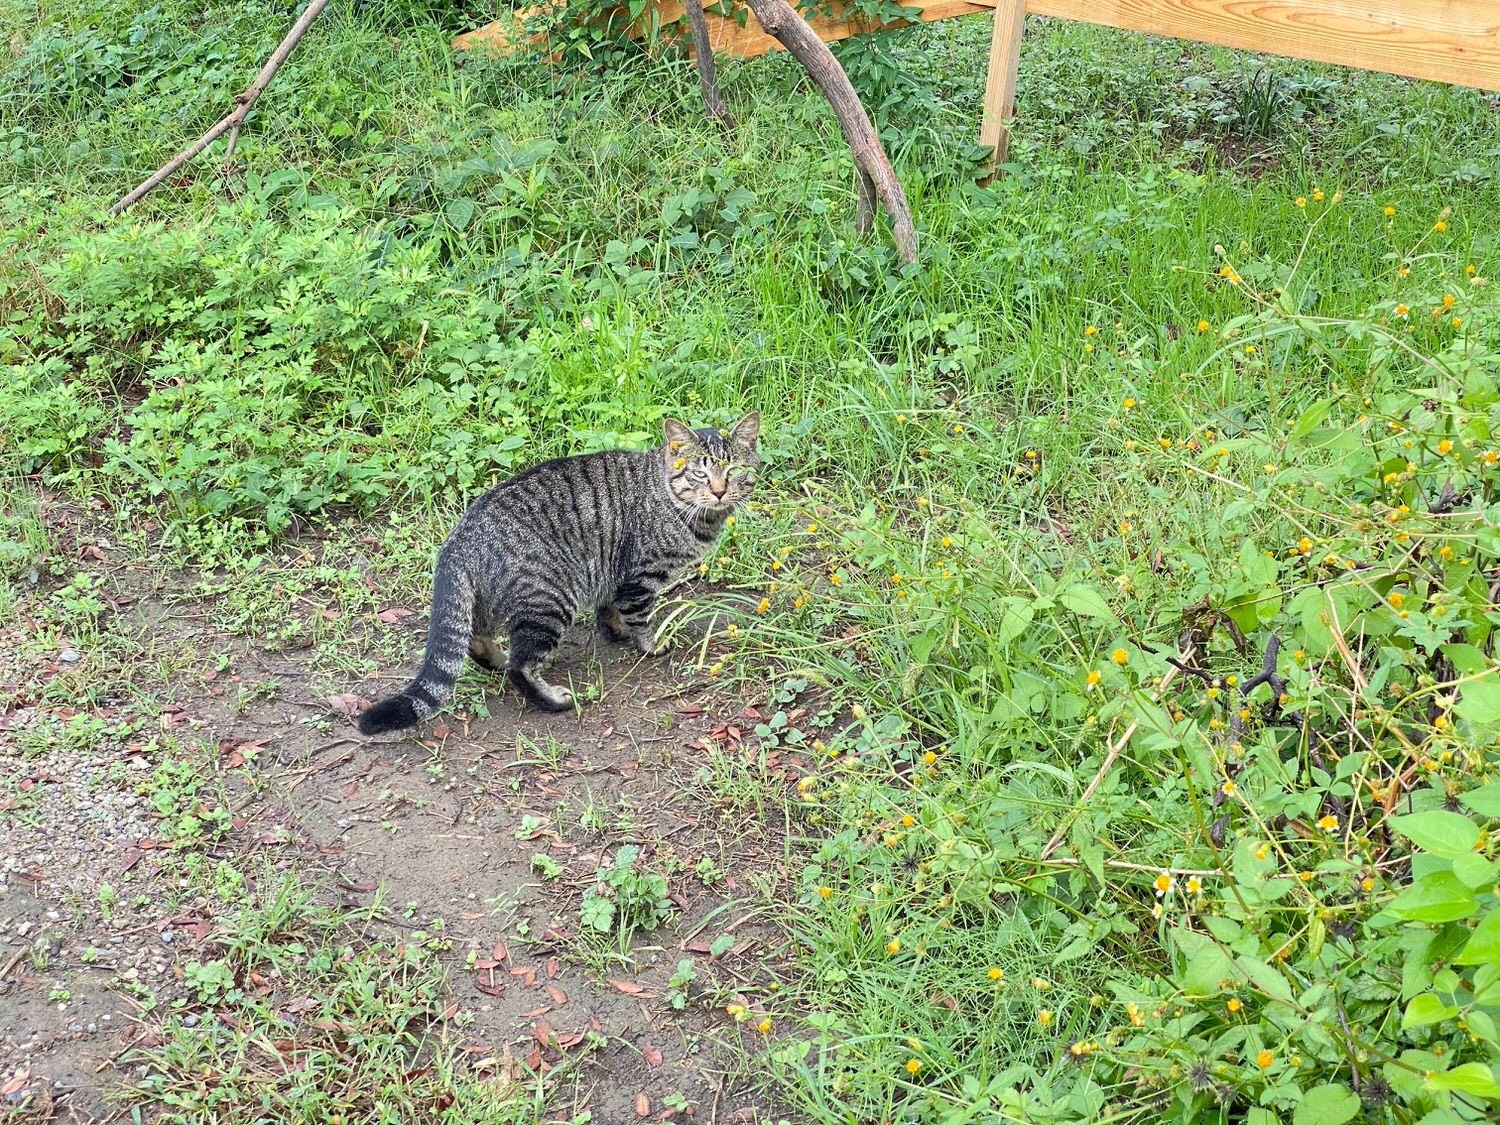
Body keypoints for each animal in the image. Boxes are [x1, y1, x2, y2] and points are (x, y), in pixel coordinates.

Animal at [357, 411, 762, 735]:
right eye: (699, 473)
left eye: (734, 471)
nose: (720, 491)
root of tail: (460, 537)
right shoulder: (640, 576)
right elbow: (640, 618)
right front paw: (650, 644)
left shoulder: (611, 574)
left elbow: (608, 608)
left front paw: (614, 630)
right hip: (550, 599)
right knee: (520, 665)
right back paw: (551, 697)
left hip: (489, 601)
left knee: (475, 639)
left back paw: (497, 661)